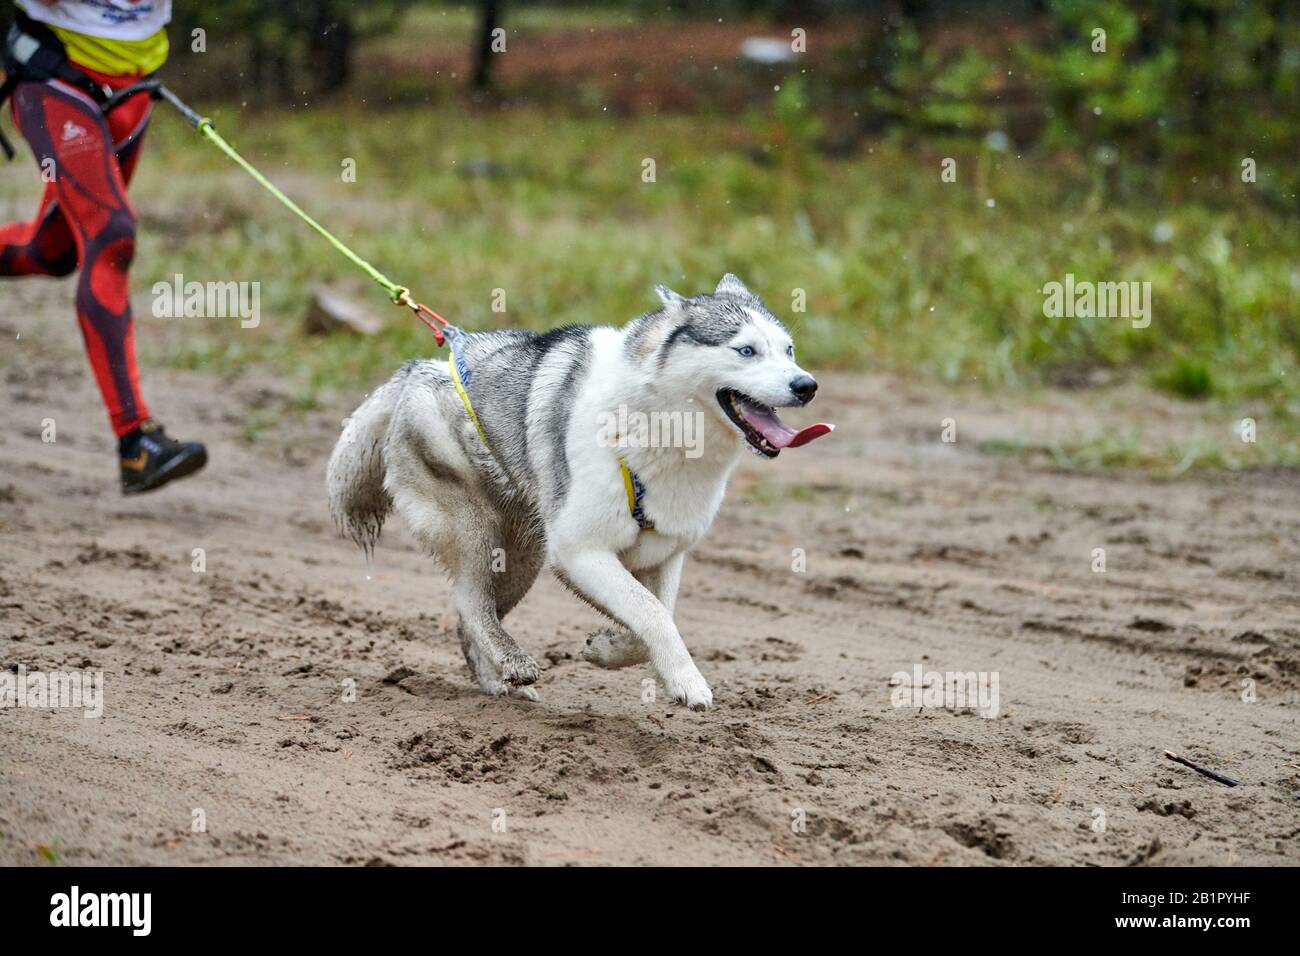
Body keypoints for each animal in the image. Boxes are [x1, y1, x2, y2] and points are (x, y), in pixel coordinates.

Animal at [330, 277, 826, 712]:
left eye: (789, 350)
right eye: (745, 350)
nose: (806, 385)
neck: (656, 429)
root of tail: (419, 369)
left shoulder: (665, 555)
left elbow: (655, 616)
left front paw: (607, 649)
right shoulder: (578, 551)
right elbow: (652, 614)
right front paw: (689, 683)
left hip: (523, 555)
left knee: (473, 615)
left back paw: (497, 683)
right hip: (475, 529)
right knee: (470, 603)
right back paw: (513, 662)